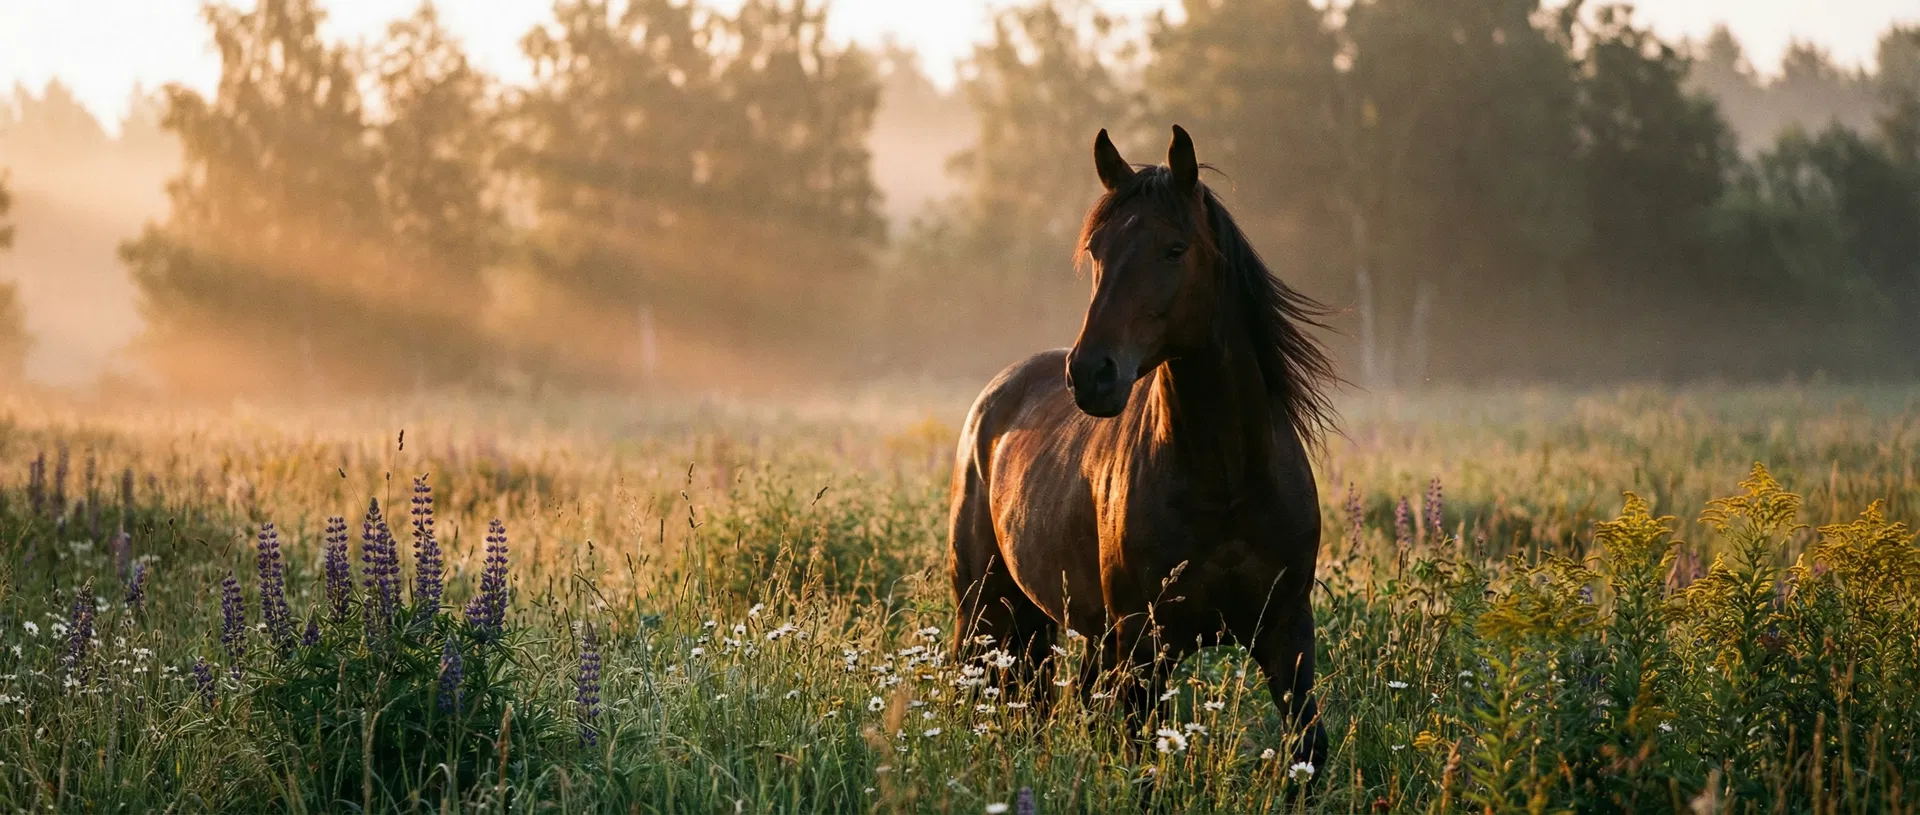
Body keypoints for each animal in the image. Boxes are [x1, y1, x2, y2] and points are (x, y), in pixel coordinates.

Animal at [948, 125, 1337, 770]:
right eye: (1097, 251)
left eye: (1175, 249)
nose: (1091, 374)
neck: (1227, 478)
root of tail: (995, 397)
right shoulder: (1146, 643)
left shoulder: (1285, 628)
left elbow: (1307, 746)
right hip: (984, 608)